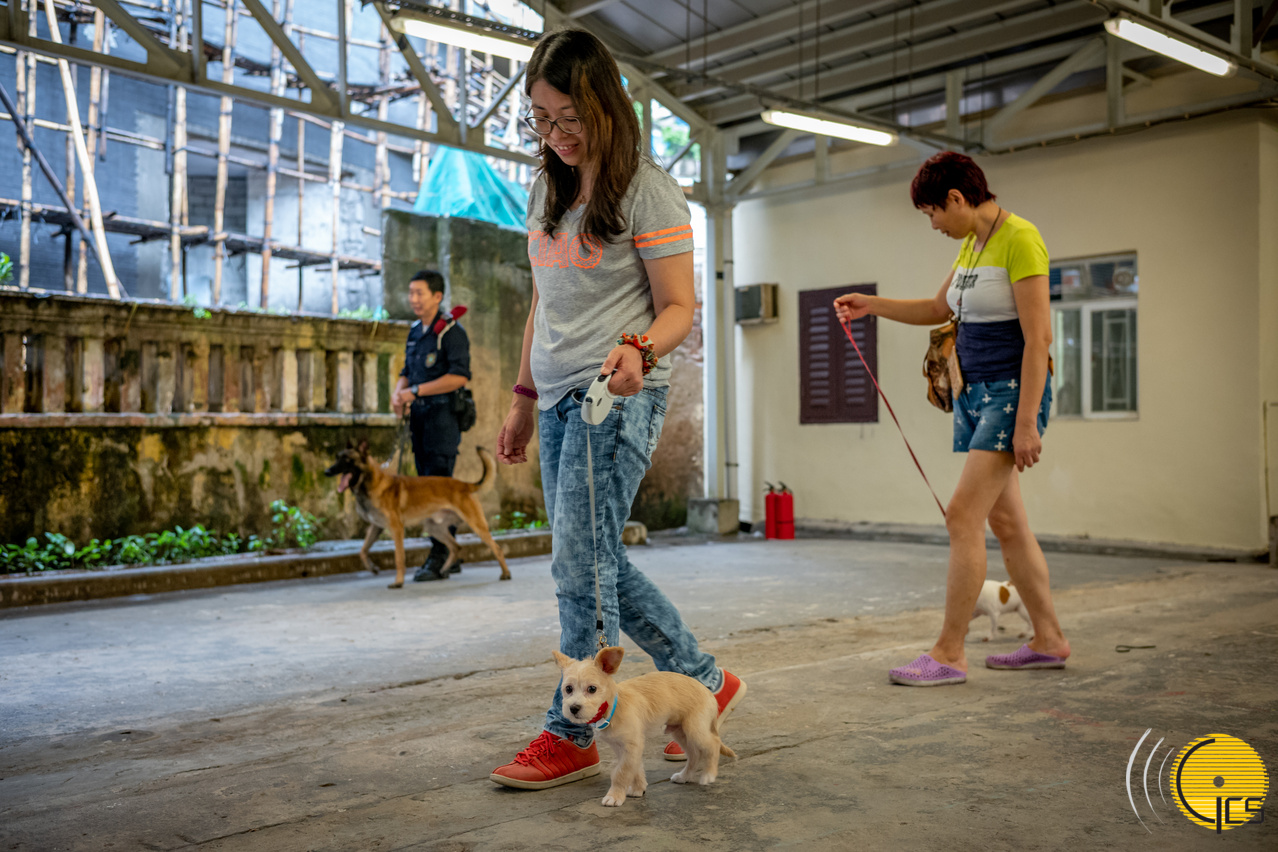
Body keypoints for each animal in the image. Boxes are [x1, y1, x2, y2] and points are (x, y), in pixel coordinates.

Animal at [324, 440, 511, 588]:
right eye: (337, 457)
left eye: (346, 460)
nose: (327, 472)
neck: (371, 483)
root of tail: (464, 484)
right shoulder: (376, 527)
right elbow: (362, 551)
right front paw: (372, 567)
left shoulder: (396, 529)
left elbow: (399, 557)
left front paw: (398, 581)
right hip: (434, 528)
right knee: (455, 547)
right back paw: (442, 570)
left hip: (476, 525)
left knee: (497, 548)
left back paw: (506, 574)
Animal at [553, 646, 736, 808]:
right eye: (568, 689)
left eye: (592, 689)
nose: (573, 708)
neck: (612, 707)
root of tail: (708, 692)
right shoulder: (624, 748)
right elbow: (635, 768)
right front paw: (638, 788)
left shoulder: (632, 745)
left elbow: (621, 772)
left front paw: (614, 796)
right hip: (680, 732)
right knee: (694, 755)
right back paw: (685, 776)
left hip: (695, 730)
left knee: (713, 744)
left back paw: (708, 774)